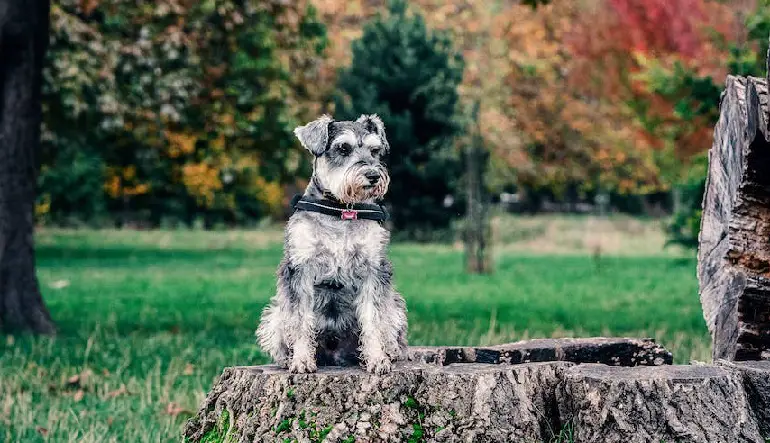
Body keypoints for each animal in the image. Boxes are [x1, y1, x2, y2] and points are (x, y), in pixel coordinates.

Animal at [255, 112, 408, 372]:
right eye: (343, 148)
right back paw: (287, 358)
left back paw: (391, 351)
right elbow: (300, 320)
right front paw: (302, 360)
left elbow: (374, 318)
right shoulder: (300, 267)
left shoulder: (373, 269)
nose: (373, 175)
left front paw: (377, 359)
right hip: (275, 313)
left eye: (375, 150)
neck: (341, 211)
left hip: (395, 305)